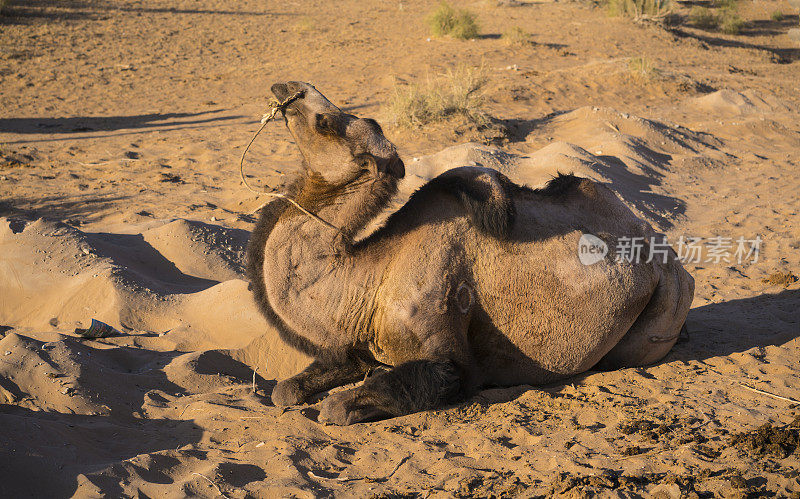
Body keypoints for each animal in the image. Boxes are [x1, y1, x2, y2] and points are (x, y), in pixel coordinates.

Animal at [245, 82, 692, 426]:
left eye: (325, 122)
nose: (286, 88)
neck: (369, 281)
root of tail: (670, 258)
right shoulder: (356, 345)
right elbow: (286, 390)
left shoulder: (443, 331)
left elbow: (400, 387)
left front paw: (339, 405)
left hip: (661, 308)